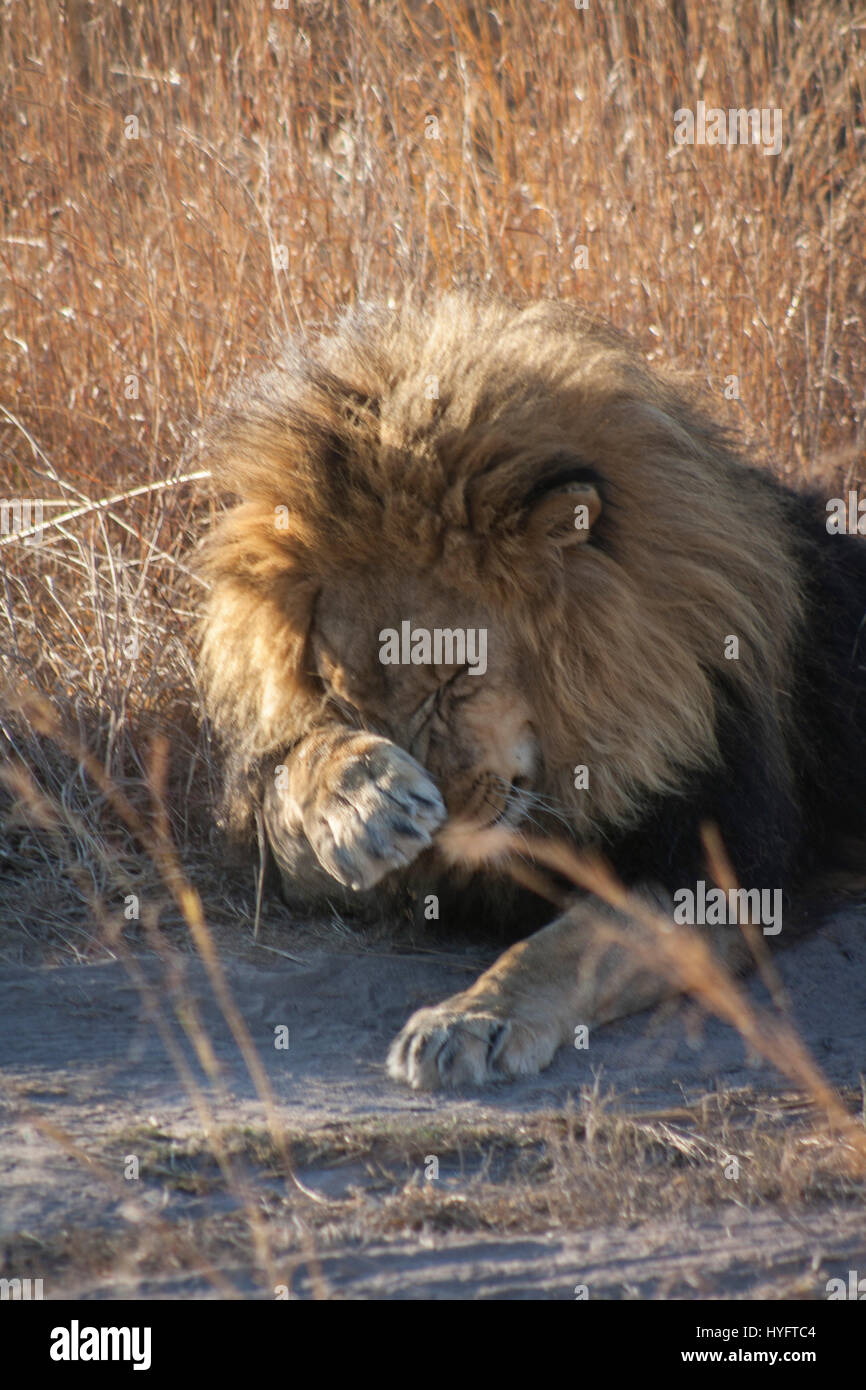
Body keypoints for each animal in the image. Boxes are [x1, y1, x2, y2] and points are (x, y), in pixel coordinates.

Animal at [200, 293, 866, 1089]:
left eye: (457, 677)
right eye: (345, 697)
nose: (439, 831)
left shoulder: (719, 867)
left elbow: (568, 946)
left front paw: (468, 1020)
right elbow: (294, 786)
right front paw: (363, 803)